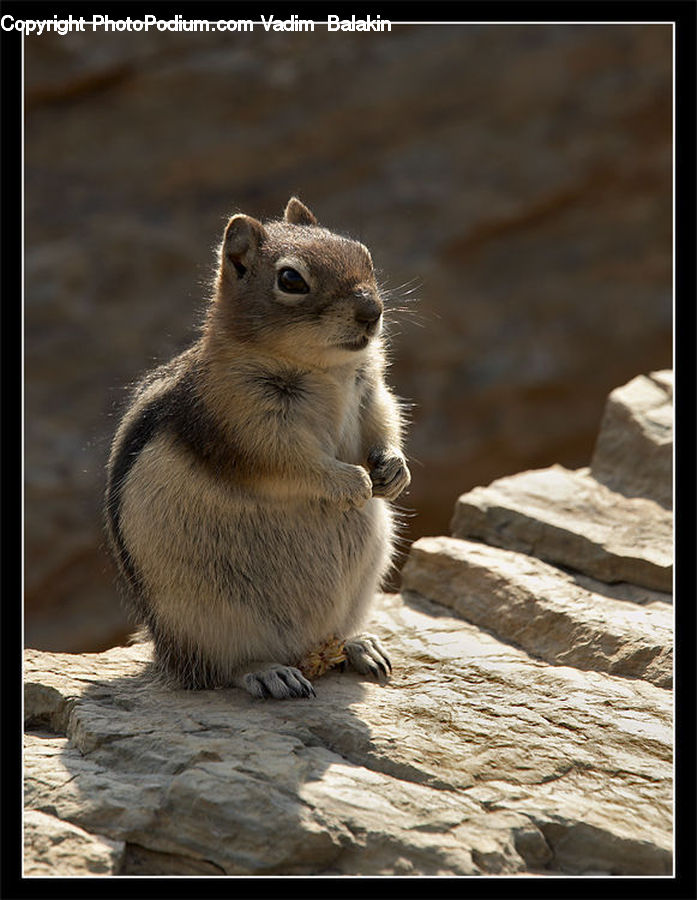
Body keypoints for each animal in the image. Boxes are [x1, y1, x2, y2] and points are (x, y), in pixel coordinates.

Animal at [104, 197, 410, 700]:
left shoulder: (370, 390)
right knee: (220, 670)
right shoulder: (243, 421)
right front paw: (350, 482)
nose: (372, 311)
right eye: (291, 280)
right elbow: (290, 461)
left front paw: (394, 470)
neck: (327, 369)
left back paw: (360, 646)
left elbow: (384, 419)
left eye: (362, 253)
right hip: (208, 621)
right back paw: (270, 673)